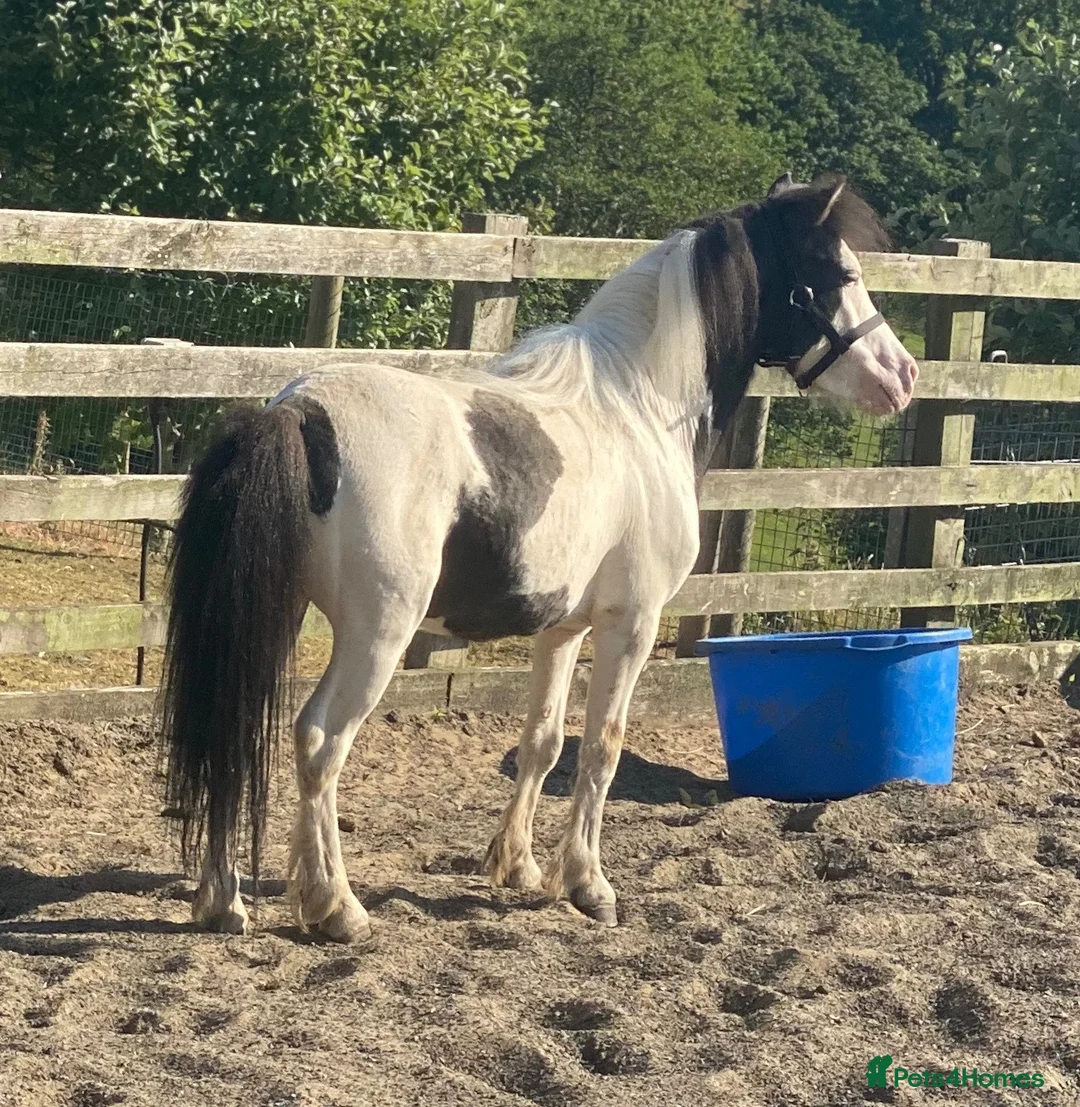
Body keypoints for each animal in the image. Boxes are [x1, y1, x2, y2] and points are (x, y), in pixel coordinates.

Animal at [160, 172, 919, 942]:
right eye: (838, 275)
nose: (903, 375)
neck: (640, 407)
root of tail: (293, 413)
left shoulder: (563, 629)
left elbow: (544, 743)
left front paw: (519, 867)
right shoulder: (630, 624)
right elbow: (602, 746)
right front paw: (589, 885)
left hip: (271, 615)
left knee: (232, 730)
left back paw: (224, 901)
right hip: (377, 634)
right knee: (319, 742)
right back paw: (335, 905)